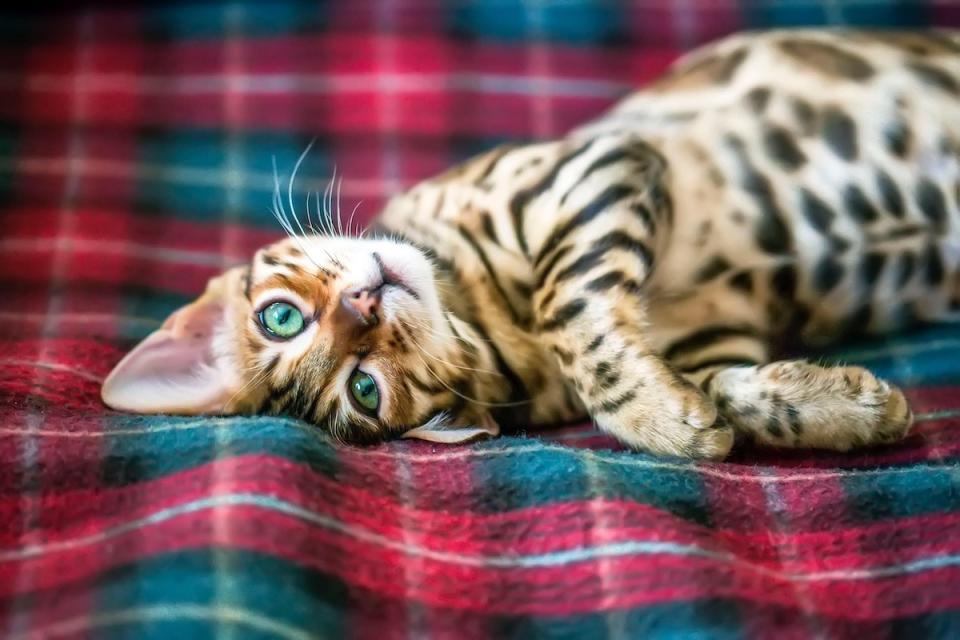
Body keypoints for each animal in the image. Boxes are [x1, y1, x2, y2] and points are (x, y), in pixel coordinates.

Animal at [99, 31, 960, 460]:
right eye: (365, 390)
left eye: (279, 317)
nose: (363, 302)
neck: (484, 310)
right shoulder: (723, 321)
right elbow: (722, 385)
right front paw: (846, 410)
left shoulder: (596, 164)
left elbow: (567, 306)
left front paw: (656, 418)